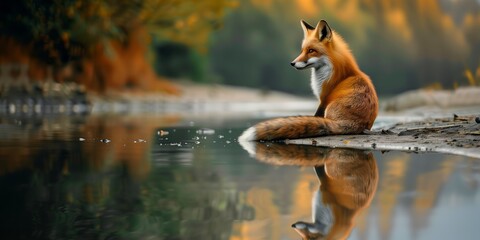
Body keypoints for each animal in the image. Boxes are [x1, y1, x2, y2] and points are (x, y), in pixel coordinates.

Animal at [238, 20, 376, 142]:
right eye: (302, 50)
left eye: (311, 51)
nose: (292, 63)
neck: (335, 71)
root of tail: (357, 125)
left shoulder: (324, 99)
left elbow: (316, 116)